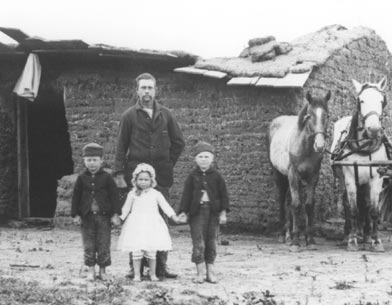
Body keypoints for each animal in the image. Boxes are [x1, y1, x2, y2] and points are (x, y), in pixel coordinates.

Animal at [268, 91, 330, 251]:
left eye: (326, 115)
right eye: (309, 115)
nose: (320, 145)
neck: (305, 147)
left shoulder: (313, 176)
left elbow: (308, 204)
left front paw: (310, 239)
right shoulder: (293, 175)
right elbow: (296, 205)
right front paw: (296, 242)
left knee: (289, 201)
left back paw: (289, 235)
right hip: (280, 175)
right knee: (282, 200)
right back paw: (283, 235)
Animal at [330, 77, 388, 251]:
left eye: (382, 101)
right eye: (361, 100)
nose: (374, 129)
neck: (364, 147)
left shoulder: (377, 178)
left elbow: (374, 210)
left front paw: (376, 241)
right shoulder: (350, 177)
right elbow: (353, 209)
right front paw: (352, 240)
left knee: (367, 204)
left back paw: (367, 236)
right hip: (344, 179)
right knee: (346, 203)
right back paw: (347, 235)